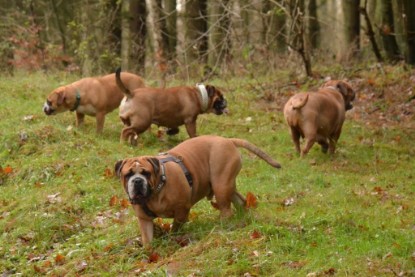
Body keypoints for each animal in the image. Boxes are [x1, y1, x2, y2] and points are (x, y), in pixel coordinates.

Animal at [115, 135, 282, 245]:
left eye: (146, 173)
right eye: (128, 174)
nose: (137, 181)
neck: (156, 192)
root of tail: (228, 140)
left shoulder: (182, 210)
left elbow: (176, 227)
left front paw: (173, 239)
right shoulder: (144, 220)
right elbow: (147, 241)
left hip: (221, 184)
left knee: (226, 209)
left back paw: (223, 226)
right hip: (227, 185)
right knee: (240, 201)